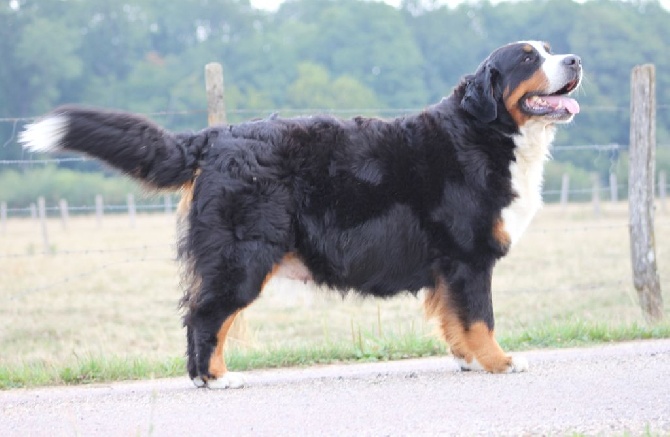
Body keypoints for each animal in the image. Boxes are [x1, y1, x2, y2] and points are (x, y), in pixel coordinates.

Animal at [21, 41, 584, 388]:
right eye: (528, 57)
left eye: (549, 49)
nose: (576, 59)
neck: (482, 133)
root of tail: (216, 137)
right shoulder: (468, 257)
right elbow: (480, 317)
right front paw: (500, 362)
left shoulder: (451, 266)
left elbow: (454, 319)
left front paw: (469, 361)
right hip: (244, 256)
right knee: (204, 315)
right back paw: (214, 378)